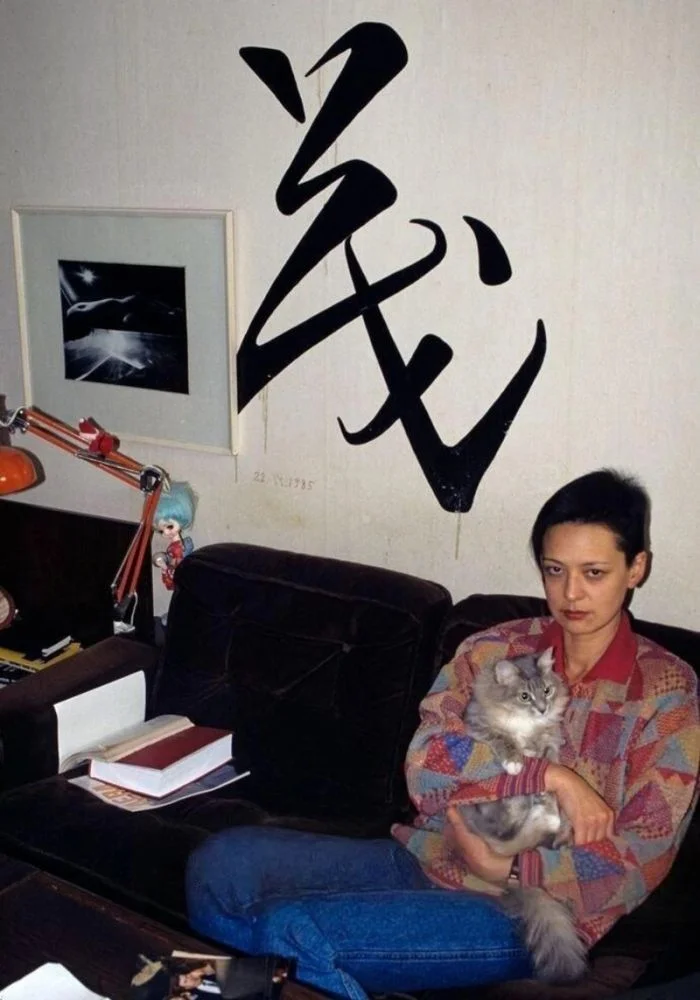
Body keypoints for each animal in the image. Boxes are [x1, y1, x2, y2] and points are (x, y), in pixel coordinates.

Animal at [460, 648, 587, 983]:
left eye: (547, 691)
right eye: (525, 696)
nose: (542, 710)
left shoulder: (550, 740)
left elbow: (547, 766)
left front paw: (535, 768)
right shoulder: (476, 721)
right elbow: (503, 739)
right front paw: (517, 762)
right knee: (509, 823)